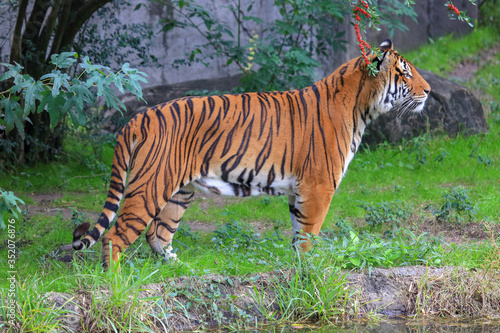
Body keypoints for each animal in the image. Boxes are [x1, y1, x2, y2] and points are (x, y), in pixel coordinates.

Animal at [72, 39, 432, 264]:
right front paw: (311, 270)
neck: (362, 107)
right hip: (150, 186)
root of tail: (137, 117)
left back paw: (180, 268)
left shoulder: (299, 191)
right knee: (115, 236)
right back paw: (115, 283)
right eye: (405, 73)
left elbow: (297, 233)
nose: (429, 91)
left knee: (157, 234)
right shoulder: (318, 186)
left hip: (179, 191)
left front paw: (298, 268)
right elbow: (309, 235)